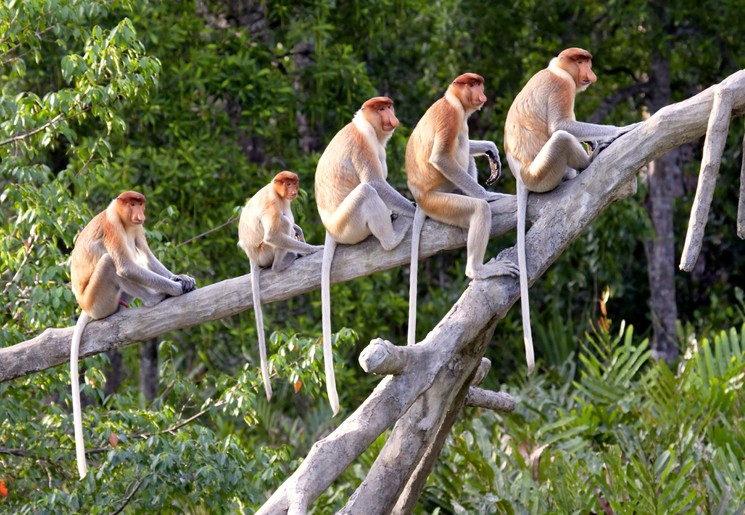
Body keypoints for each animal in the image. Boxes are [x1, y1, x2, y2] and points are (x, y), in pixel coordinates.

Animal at [68, 194, 196, 480]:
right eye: (132, 203)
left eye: (140, 203)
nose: (139, 213)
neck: (123, 219)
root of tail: (84, 306)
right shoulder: (113, 226)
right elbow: (127, 267)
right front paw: (174, 288)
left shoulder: (137, 229)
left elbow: (146, 256)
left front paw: (181, 278)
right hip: (99, 300)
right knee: (111, 264)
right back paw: (154, 298)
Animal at [237, 170, 322, 404]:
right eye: (287, 183)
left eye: (294, 182)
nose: (293, 190)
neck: (276, 191)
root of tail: (252, 257)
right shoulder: (273, 203)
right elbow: (273, 234)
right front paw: (313, 249)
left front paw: (300, 231)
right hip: (264, 252)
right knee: (281, 224)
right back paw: (283, 262)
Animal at [316, 93, 416, 416]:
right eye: (381, 108)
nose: (392, 117)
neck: (366, 127)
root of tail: (330, 229)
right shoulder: (362, 145)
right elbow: (375, 183)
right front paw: (414, 210)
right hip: (349, 224)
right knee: (366, 192)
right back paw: (392, 237)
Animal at [406, 72, 516, 346]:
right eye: (473, 85)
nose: (482, 95)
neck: (452, 101)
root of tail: (421, 199)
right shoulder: (451, 117)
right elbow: (441, 158)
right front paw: (489, 195)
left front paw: (491, 149)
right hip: (441, 201)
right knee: (477, 208)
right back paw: (478, 269)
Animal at [502, 47, 644, 370]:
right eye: (581, 62)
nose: (591, 74)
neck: (557, 69)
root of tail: (521, 176)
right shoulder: (562, 87)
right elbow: (562, 126)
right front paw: (621, 130)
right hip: (544, 172)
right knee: (562, 137)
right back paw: (589, 160)